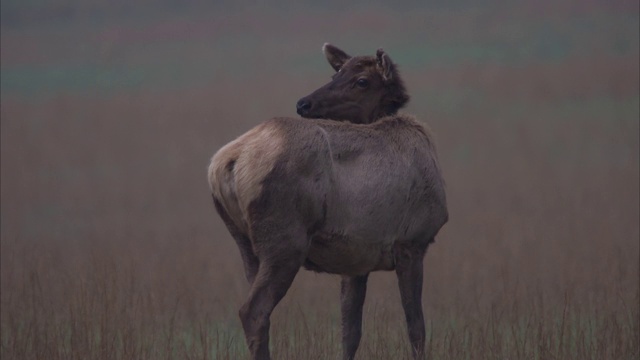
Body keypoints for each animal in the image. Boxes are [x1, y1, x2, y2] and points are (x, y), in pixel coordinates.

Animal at [208, 43, 448, 358]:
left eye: (361, 81)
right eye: (337, 74)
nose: (304, 103)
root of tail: (226, 163)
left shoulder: (357, 256)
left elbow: (350, 332)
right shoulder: (412, 241)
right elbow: (416, 328)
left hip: (245, 244)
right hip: (285, 240)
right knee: (253, 311)